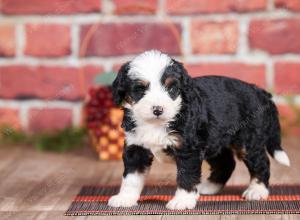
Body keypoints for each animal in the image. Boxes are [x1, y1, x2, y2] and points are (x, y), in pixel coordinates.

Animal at [106, 49, 290, 210]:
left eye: (171, 88)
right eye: (140, 89)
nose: (158, 109)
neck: (156, 123)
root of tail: (259, 91)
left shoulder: (188, 149)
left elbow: (186, 175)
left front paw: (182, 201)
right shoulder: (136, 147)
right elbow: (131, 177)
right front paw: (125, 198)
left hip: (248, 140)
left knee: (261, 162)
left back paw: (257, 191)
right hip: (215, 141)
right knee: (226, 163)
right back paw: (209, 187)